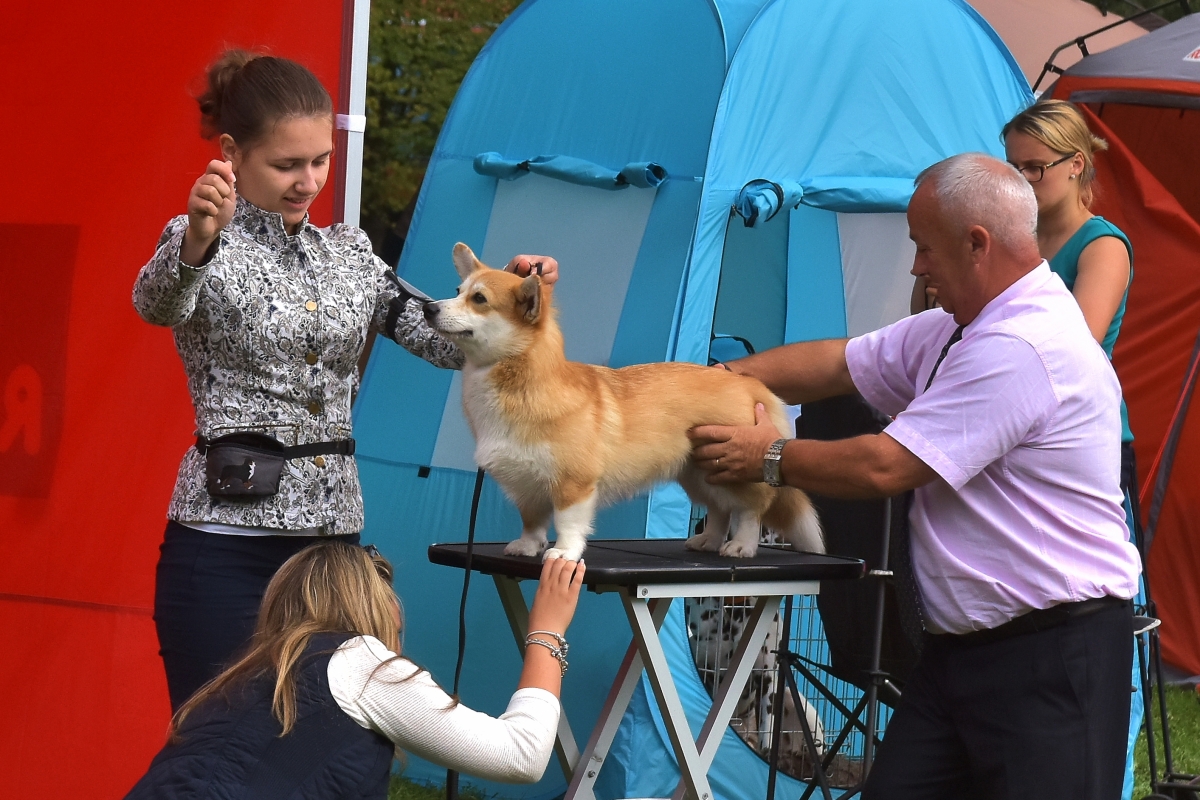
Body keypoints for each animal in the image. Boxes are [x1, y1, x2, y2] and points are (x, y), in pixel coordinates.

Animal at [423, 243, 822, 561]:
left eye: (479, 300)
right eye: (457, 290)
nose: (427, 308)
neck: (519, 379)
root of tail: (748, 385)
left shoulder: (574, 484)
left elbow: (567, 523)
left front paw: (563, 553)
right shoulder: (527, 486)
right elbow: (532, 521)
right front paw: (527, 546)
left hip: (733, 470)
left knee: (749, 511)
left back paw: (740, 545)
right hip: (699, 474)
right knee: (719, 510)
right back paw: (707, 540)